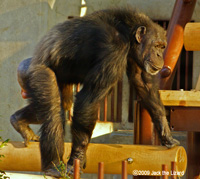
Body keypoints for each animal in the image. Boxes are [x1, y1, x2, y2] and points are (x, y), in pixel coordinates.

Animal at [10, 8, 180, 176]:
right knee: (53, 111)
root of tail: (29, 62)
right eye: (157, 45)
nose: (159, 55)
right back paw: (53, 166)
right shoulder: (113, 51)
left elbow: (142, 82)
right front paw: (77, 158)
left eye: (162, 47)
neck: (127, 32)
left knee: (61, 104)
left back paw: (18, 121)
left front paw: (166, 132)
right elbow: (88, 100)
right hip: (39, 73)